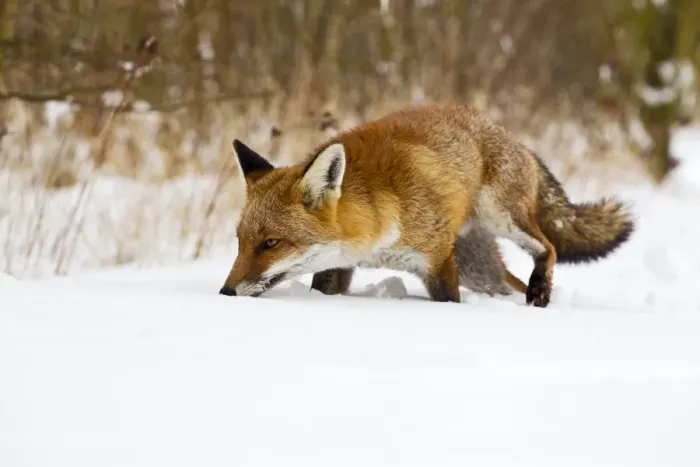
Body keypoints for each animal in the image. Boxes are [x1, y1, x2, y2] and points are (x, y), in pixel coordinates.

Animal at [219, 103, 634, 307]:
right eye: (240, 242)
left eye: (271, 243)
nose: (226, 294)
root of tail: (510, 135)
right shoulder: (337, 267)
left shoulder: (437, 263)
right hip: (480, 271)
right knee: (511, 281)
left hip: (502, 220)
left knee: (548, 247)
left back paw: (541, 291)